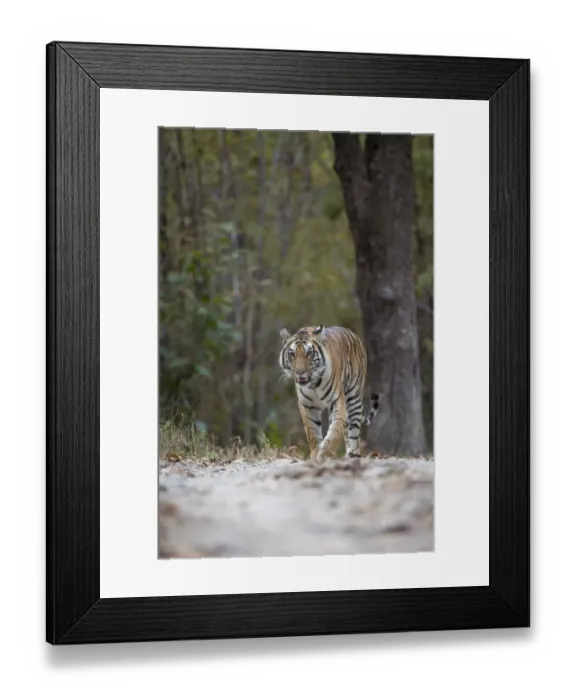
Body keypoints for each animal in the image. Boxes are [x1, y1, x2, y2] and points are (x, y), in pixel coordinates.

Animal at [278, 324, 379, 460]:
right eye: (291, 354)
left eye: (309, 353)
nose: (299, 372)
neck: (313, 384)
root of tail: (352, 333)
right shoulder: (308, 405)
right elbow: (313, 432)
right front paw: (315, 454)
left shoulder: (337, 401)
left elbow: (335, 429)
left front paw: (325, 452)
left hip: (354, 398)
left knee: (354, 430)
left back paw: (353, 454)